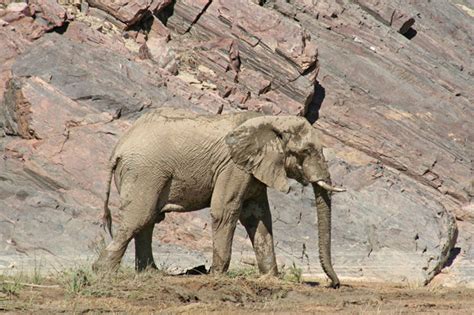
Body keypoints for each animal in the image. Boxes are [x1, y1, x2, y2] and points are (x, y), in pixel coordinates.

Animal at [92, 107, 344, 288]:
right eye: (306, 152)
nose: (334, 284)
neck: (270, 120)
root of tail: (119, 148)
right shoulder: (233, 167)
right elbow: (225, 210)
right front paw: (217, 276)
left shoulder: (253, 169)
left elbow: (257, 216)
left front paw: (271, 278)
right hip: (145, 172)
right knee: (138, 218)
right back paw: (102, 272)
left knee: (148, 220)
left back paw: (151, 273)